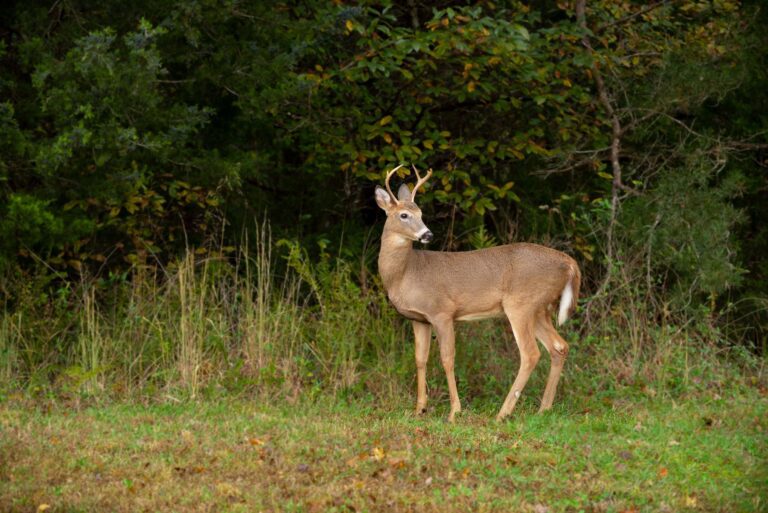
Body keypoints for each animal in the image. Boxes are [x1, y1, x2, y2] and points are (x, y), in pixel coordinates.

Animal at [376, 163, 580, 420]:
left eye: (421, 213)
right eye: (404, 215)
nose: (428, 234)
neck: (405, 274)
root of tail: (569, 263)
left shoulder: (442, 312)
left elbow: (447, 359)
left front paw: (454, 412)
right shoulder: (419, 318)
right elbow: (420, 359)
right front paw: (419, 409)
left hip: (521, 304)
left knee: (531, 353)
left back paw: (502, 413)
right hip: (540, 309)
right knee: (559, 346)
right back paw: (543, 409)